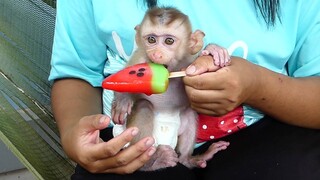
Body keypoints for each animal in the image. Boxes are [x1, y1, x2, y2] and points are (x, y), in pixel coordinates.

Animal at [112, 6, 230, 170]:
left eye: (169, 41)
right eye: (151, 39)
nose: (156, 54)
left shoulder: (188, 61)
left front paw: (213, 50)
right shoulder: (139, 60)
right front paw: (122, 100)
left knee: (189, 112)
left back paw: (189, 159)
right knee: (143, 106)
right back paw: (153, 161)